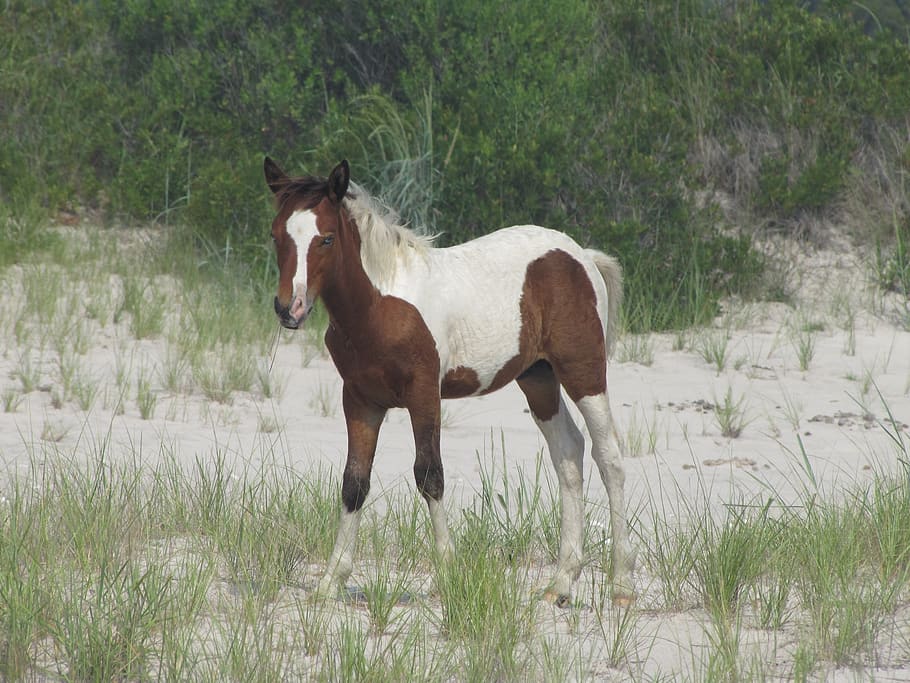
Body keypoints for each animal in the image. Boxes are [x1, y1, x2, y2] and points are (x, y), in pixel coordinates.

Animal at [264, 159, 636, 604]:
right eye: (276, 235)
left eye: (326, 238)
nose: (290, 308)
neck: (379, 307)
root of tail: (582, 256)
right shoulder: (360, 400)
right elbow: (354, 482)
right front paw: (330, 580)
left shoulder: (424, 393)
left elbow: (430, 475)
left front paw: (447, 573)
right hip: (538, 378)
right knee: (568, 453)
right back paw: (561, 581)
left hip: (583, 371)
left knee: (608, 456)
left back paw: (621, 584)